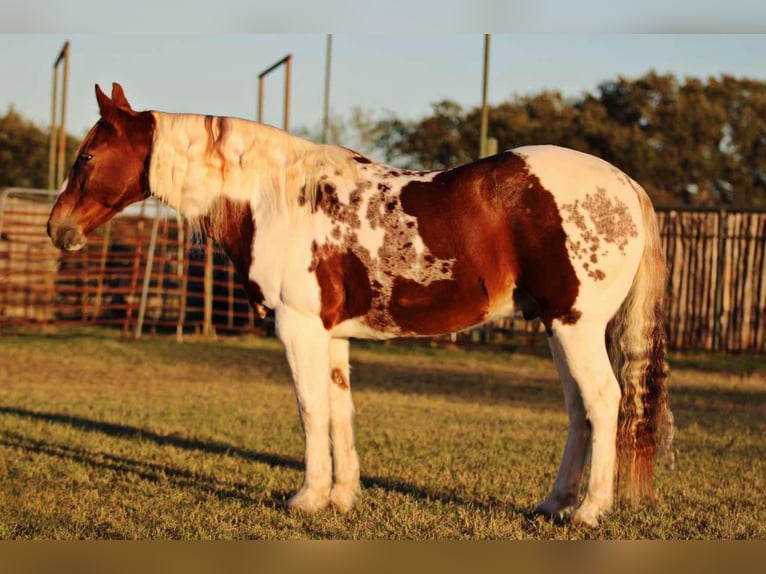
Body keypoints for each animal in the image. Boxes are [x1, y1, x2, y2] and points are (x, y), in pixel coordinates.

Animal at [47, 83, 672, 527]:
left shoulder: (298, 327)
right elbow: (340, 408)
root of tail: (625, 184)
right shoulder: (333, 335)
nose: (58, 228)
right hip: (556, 326)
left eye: (88, 155)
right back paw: (554, 505)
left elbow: (310, 409)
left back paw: (589, 511)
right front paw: (343, 496)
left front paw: (308, 496)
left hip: (576, 326)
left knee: (602, 400)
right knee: (578, 409)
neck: (275, 199)